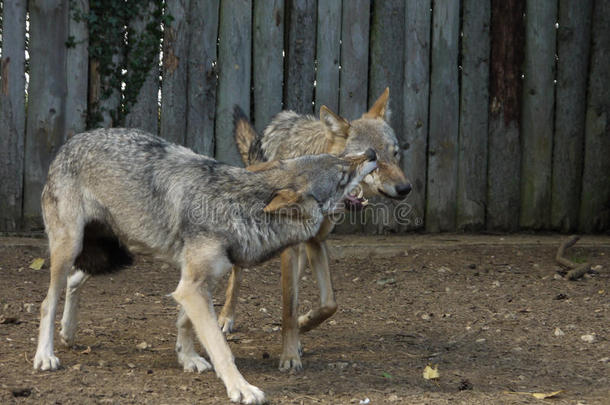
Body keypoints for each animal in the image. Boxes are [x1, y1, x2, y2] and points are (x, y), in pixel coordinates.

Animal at [34, 128, 376, 402]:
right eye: (342, 175)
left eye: (342, 158)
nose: (371, 153)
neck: (239, 206)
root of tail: (71, 142)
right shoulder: (192, 286)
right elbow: (221, 348)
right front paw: (241, 388)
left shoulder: (199, 282)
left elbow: (185, 323)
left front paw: (187, 358)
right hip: (71, 249)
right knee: (47, 301)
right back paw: (46, 355)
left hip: (117, 255)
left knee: (74, 281)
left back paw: (68, 333)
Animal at [221, 87, 410, 370]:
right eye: (373, 156)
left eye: (395, 153)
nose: (405, 188)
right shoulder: (291, 250)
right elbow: (289, 305)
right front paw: (289, 355)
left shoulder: (316, 243)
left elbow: (328, 304)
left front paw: (303, 325)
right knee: (236, 275)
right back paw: (225, 318)